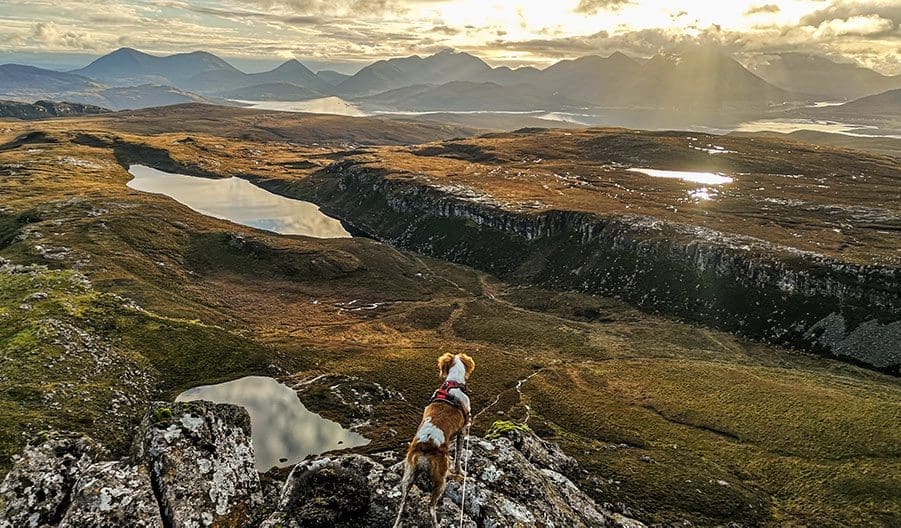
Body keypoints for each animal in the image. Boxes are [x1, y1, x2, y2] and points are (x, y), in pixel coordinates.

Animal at [390, 350, 474, 528]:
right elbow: (459, 456)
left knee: (402, 504)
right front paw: (461, 472)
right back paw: (437, 523)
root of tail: (425, 445)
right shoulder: (463, 431)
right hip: (440, 479)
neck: (453, 383)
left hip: (408, 475)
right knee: (430, 507)